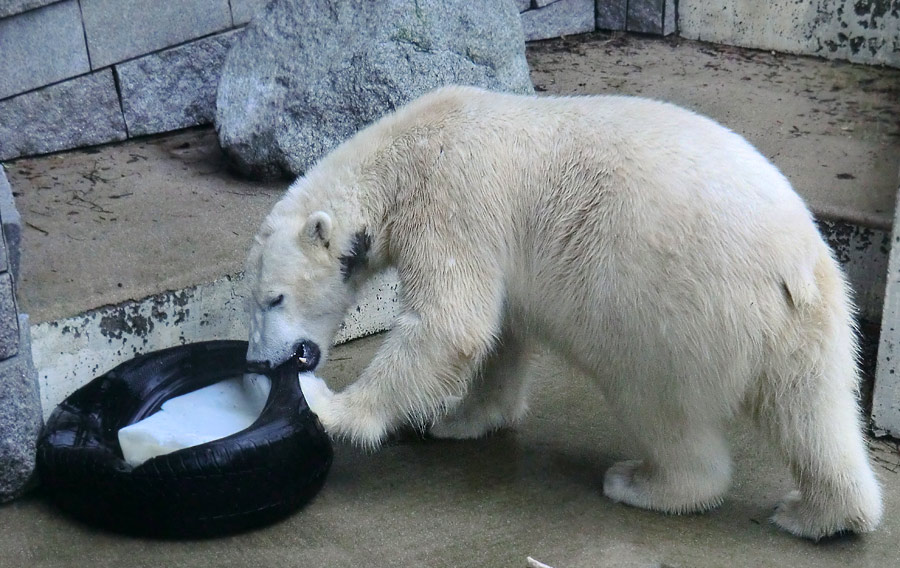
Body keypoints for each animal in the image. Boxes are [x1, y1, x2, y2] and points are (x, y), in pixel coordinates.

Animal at [244, 84, 880, 536]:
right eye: (252, 302)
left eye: (273, 298)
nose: (258, 363)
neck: (403, 153)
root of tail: (790, 265)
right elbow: (500, 334)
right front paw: (463, 418)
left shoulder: (454, 200)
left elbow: (452, 323)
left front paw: (332, 407)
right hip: (814, 316)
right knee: (814, 410)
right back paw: (821, 514)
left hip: (680, 310)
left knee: (655, 400)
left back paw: (643, 484)